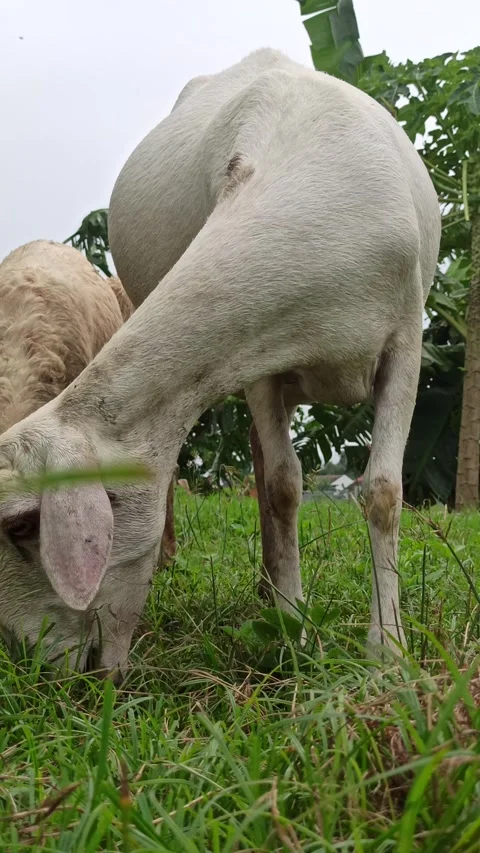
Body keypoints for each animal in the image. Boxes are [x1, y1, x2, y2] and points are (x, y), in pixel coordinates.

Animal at [0, 49, 440, 677]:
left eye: (19, 525)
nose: (31, 669)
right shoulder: (259, 357)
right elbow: (282, 487)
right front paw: (293, 631)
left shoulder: (405, 342)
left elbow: (382, 492)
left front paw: (389, 652)